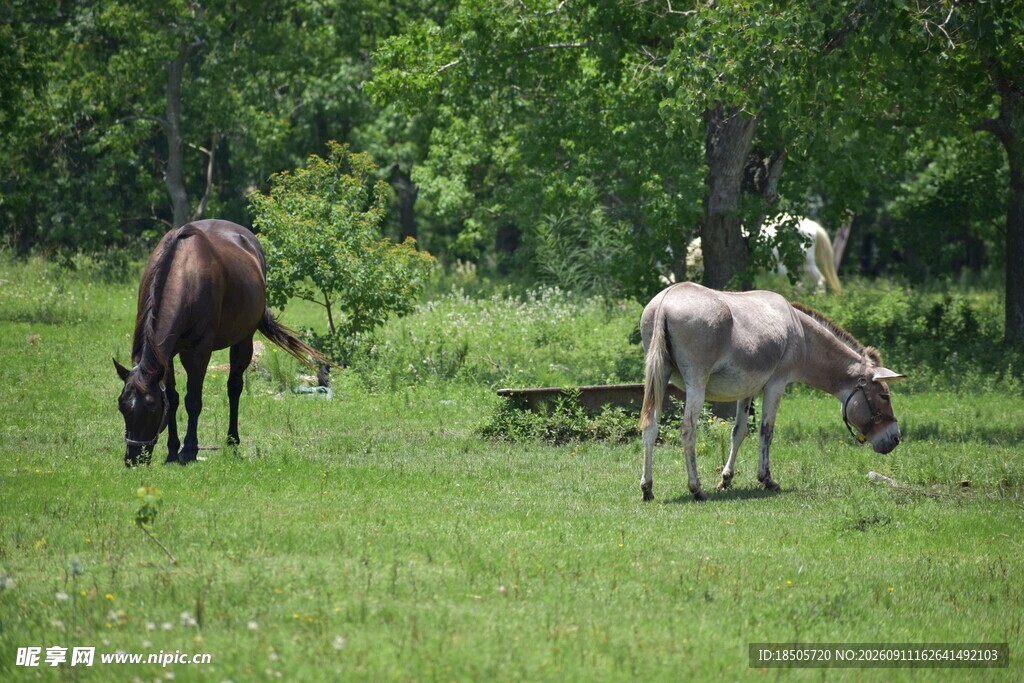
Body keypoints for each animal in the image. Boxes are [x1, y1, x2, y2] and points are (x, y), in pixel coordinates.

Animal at [113, 219, 332, 467]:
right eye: (122, 406)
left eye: (151, 408)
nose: (133, 459)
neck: (184, 273)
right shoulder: (165, 357)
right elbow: (172, 398)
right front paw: (172, 451)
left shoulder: (198, 352)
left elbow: (193, 400)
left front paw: (189, 450)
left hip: (243, 341)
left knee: (234, 388)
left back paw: (232, 442)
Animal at [638, 282, 903, 502]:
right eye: (884, 396)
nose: (896, 438)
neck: (801, 333)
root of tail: (667, 299)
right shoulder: (777, 384)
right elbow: (766, 431)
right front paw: (766, 479)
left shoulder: (747, 390)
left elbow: (739, 432)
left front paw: (726, 479)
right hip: (696, 383)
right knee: (688, 430)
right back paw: (696, 488)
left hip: (659, 377)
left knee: (650, 426)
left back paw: (647, 488)